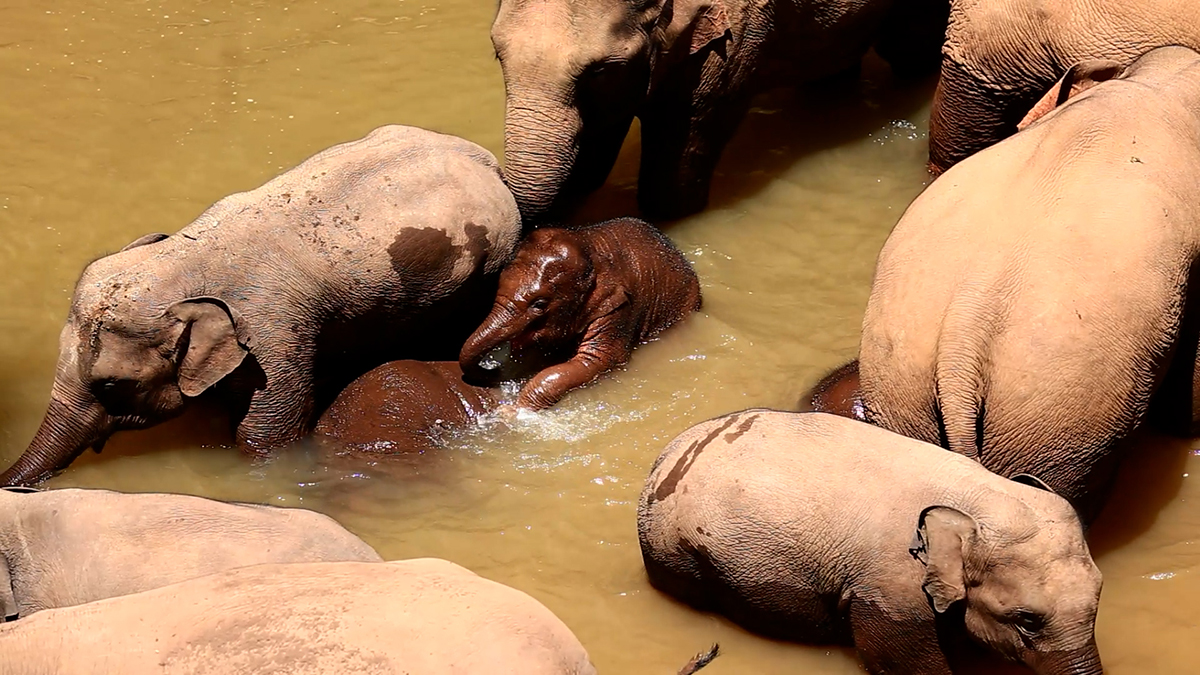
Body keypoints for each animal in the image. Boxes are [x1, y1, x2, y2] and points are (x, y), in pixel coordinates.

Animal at [459, 218, 702, 410]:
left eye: (539, 304)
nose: (494, 370)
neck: (589, 246)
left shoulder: (617, 308)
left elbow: (599, 360)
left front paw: (513, 412)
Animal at [493, 0, 950, 222]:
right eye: (497, 53)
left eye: (602, 70)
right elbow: (592, 165)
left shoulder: (730, 40)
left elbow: (668, 186)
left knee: (909, 51)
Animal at [639, 410, 1103, 675]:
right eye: (1027, 620)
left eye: (1098, 602)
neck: (977, 499)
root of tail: (666, 455)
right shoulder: (890, 592)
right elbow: (903, 666)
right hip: (676, 554)